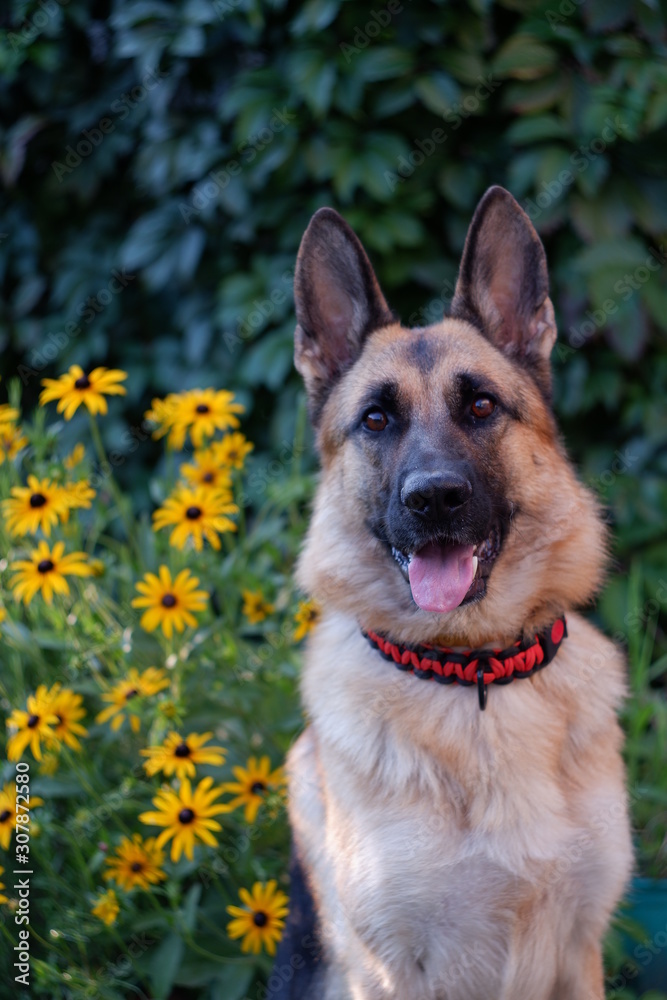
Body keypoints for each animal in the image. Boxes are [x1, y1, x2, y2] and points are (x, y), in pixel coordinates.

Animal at [276, 188, 632, 1000]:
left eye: (480, 407)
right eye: (376, 419)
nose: (433, 498)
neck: (473, 676)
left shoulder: (579, 952)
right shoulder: (390, 975)